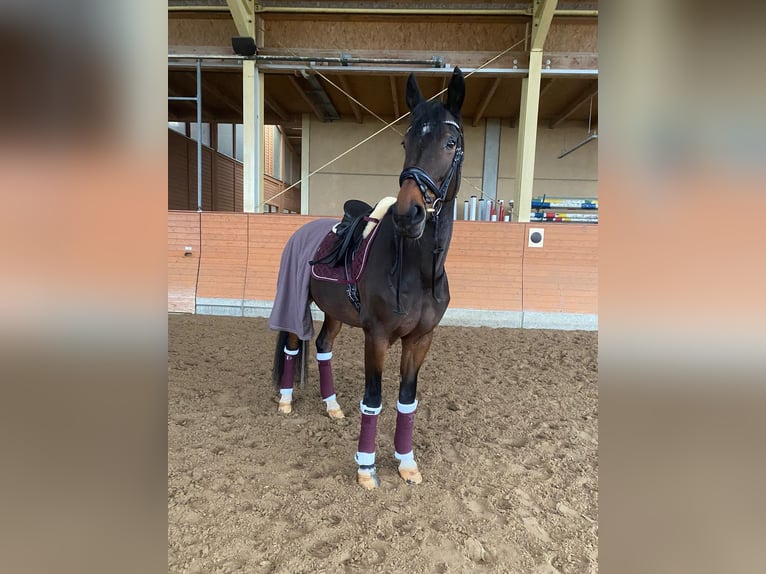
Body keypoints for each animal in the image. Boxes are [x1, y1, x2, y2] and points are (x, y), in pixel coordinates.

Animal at [268, 66, 464, 490]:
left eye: (450, 141)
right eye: (406, 140)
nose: (410, 214)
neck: (416, 269)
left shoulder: (420, 340)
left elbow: (407, 400)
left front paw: (406, 463)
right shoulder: (376, 337)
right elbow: (373, 400)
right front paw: (366, 468)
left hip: (336, 313)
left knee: (322, 346)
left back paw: (332, 407)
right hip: (295, 305)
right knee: (292, 347)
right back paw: (286, 401)